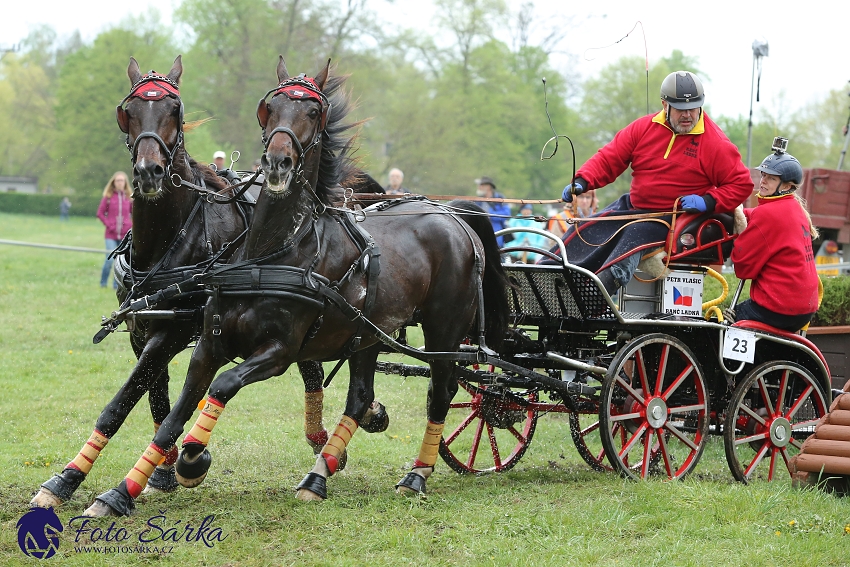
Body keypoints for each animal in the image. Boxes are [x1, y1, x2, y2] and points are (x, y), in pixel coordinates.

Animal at [32, 57, 338, 516]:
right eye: (129, 111)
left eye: (174, 109)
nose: (149, 171)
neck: (172, 235)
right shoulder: (142, 331)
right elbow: (155, 398)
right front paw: (158, 472)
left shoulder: (172, 333)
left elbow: (120, 403)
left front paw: (71, 479)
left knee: (314, 368)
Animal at [86, 57, 506, 516]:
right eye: (128, 111)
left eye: (175, 110)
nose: (149, 172)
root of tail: (453, 214)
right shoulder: (183, 338)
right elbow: (156, 408)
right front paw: (109, 488)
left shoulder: (262, 348)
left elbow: (217, 387)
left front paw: (189, 461)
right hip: (368, 333)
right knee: (359, 396)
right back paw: (322, 470)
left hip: (443, 332)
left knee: (441, 391)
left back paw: (414, 474)